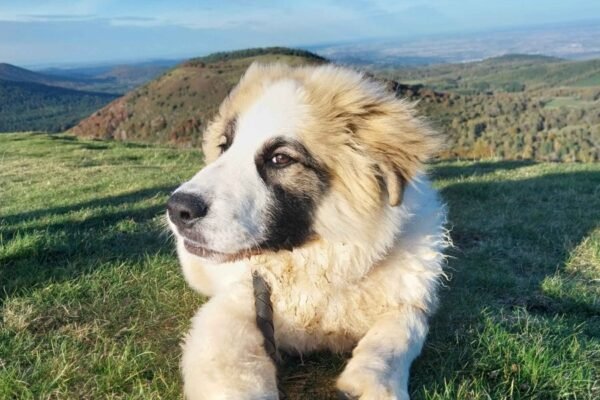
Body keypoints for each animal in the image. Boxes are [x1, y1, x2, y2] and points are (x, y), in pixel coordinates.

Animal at [166, 64, 448, 398]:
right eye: (224, 147)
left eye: (280, 158)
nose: (178, 209)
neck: (315, 264)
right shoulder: (233, 309)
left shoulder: (409, 303)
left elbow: (396, 337)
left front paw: (373, 383)